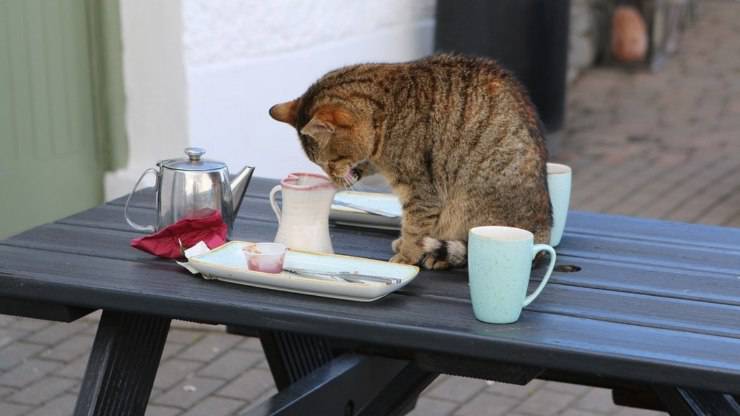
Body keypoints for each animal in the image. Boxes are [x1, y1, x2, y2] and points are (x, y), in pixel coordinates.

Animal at [268, 54, 552, 270]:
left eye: (329, 162)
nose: (332, 178)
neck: (388, 111)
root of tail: (543, 232)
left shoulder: (420, 192)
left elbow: (414, 228)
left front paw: (407, 256)